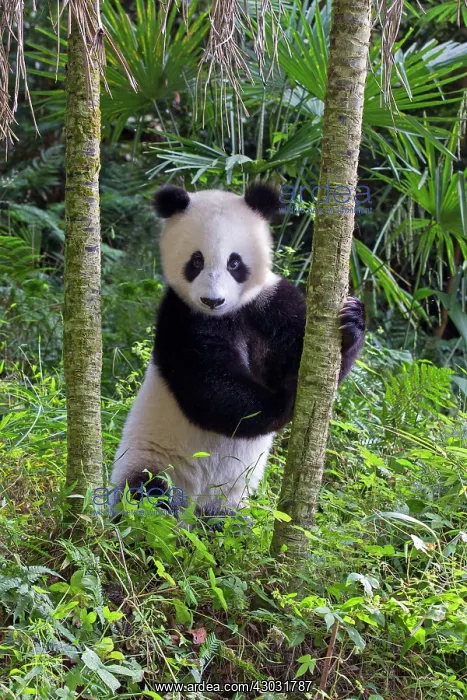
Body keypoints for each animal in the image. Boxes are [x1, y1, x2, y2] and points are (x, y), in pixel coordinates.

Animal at [110, 183, 365, 518]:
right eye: (196, 261)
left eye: (234, 262)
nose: (212, 300)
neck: (230, 314)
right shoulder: (180, 318)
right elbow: (212, 390)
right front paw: (288, 396)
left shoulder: (270, 303)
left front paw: (352, 322)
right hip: (152, 461)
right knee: (145, 498)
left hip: (230, 500)